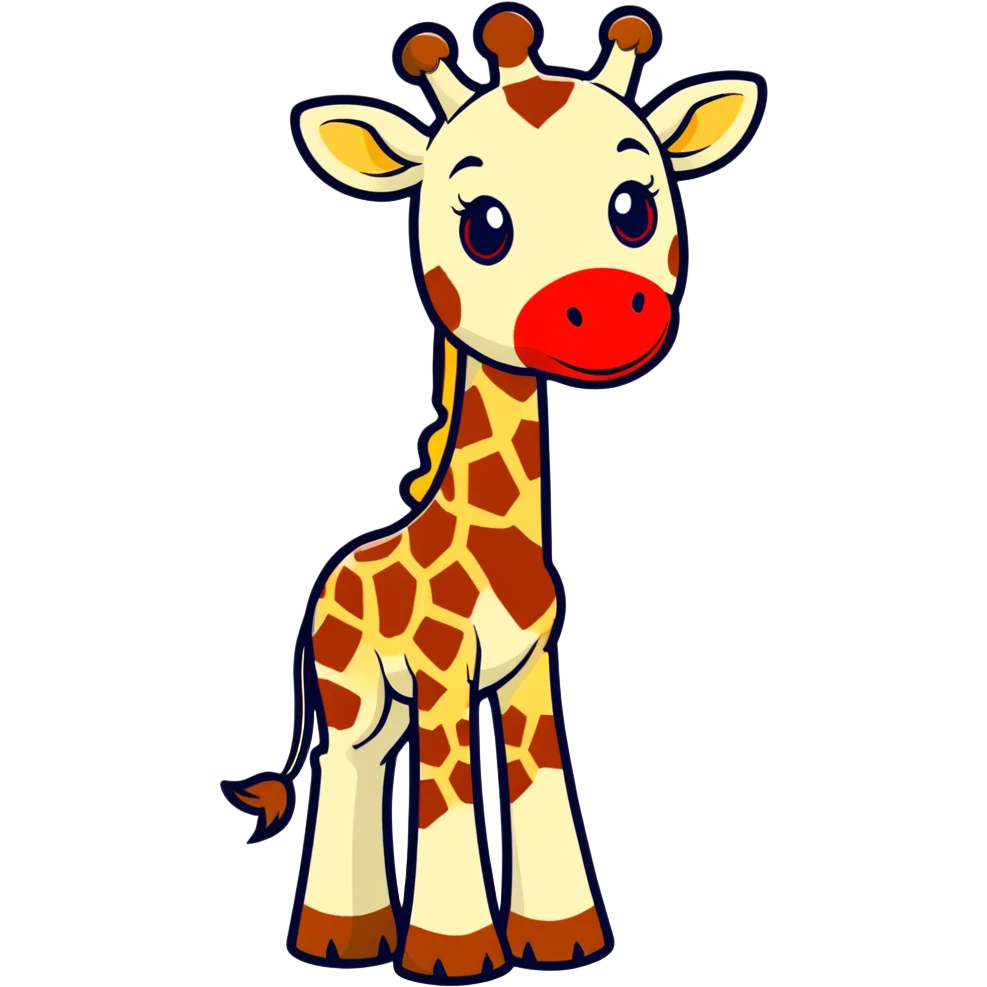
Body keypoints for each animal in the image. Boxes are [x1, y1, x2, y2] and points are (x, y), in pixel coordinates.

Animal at [224, 4, 768, 983]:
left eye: (633, 206)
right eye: (484, 224)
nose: (604, 306)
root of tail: (323, 581)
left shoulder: (531, 666)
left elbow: (539, 775)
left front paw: (564, 941)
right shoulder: (443, 670)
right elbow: (445, 794)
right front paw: (453, 955)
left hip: (380, 705)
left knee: (368, 766)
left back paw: (347, 941)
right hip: (353, 692)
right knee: (350, 768)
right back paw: (334, 941)